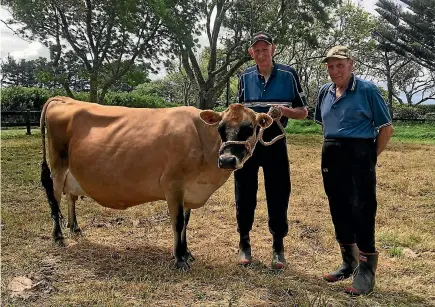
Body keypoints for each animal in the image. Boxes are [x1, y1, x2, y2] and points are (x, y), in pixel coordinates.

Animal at [41, 97, 276, 270]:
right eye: (221, 128)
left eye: (250, 128)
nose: (227, 160)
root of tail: (64, 99)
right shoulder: (173, 184)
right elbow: (178, 223)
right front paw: (179, 259)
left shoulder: (188, 191)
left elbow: (186, 223)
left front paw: (186, 252)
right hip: (58, 167)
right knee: (55, 199)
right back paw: (58, 236)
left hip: (72, 172)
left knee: (70, 196)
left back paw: (75, 228)